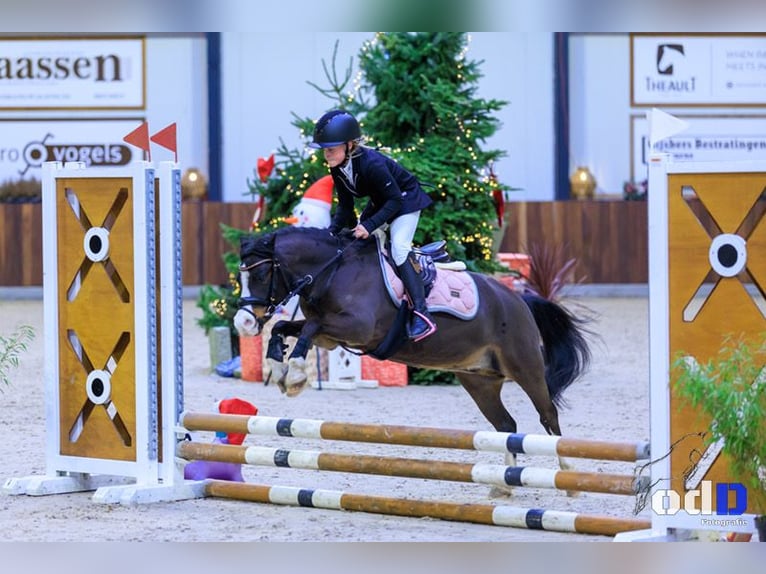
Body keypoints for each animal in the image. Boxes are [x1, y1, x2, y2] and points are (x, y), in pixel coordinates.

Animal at [234, 225, 592, 448]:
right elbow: (285, 327)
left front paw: (293, 374)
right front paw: (278, 365)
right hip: (479, 379)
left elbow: (306, 329)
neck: (332, 270)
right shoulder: (330, 338)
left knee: (548, 416)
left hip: (525, 367)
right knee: (506, 425)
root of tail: (520, 300)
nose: (243, 323)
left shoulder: (356, 329)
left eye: (262, 274)